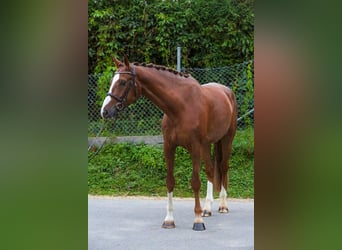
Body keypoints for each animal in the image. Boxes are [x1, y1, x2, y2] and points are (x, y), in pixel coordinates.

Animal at [100, 55, 236, 231]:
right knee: (211, 170)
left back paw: (223, 206)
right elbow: (170, 181)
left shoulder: (195, 148)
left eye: (123, 82)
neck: (181, 106)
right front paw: (169, 220)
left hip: (226, 139)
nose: (105, 111)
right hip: (206, 145)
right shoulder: (169, 147)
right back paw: (207, 209)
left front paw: (198, 220)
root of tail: (227, 92)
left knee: (224, 168)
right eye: (112, 81)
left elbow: (195, 182)